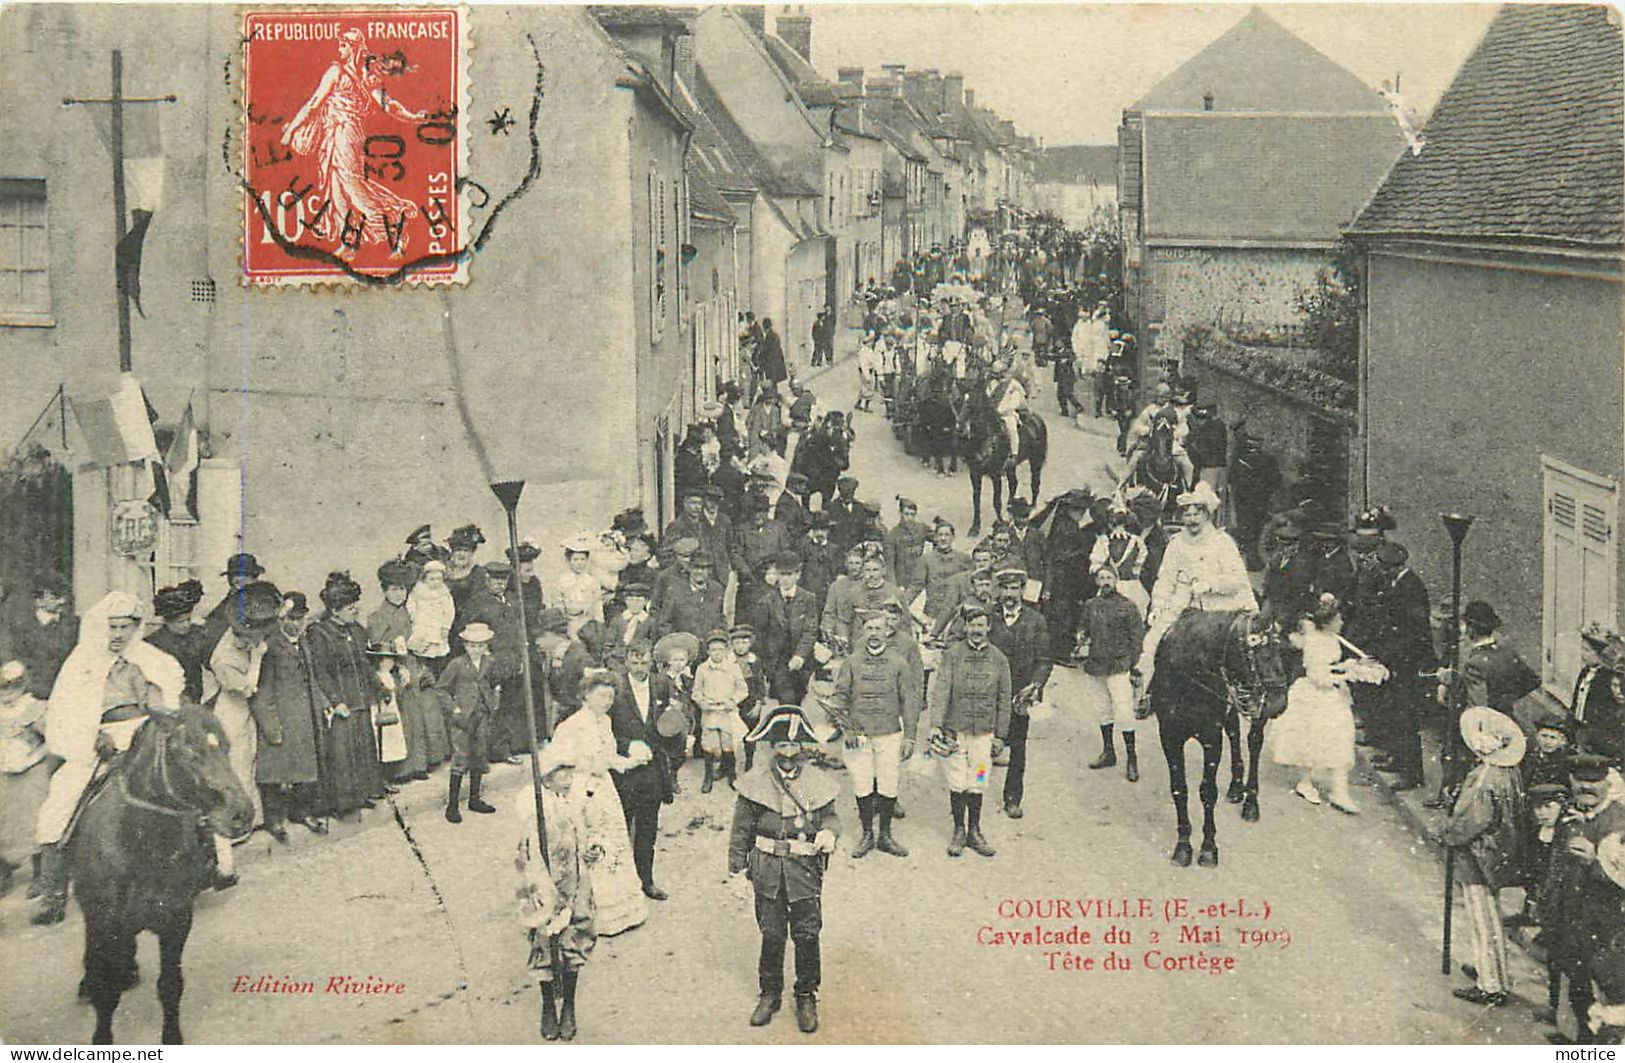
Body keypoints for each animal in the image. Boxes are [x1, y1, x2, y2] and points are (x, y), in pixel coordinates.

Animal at [72, 705, 255, 1046]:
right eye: (187, 752)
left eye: (225, 746)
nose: (242, 814)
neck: (141, 843)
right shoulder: (107, 923)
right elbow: (107, 993)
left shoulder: (176, 922)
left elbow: (170, 984)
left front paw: (172, 1036)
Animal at [955, 390, 1046, 542]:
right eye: (959, 401)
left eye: (972, 404)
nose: (960, 429)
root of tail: (1037, 418)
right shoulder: (975, 473)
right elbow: (976, 501)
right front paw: (975, 528)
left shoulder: (995, 474)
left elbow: (996, 500)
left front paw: (1000, 522)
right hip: (1011, 467)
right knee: (1014, 483)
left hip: (1035, 461)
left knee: (1035, 483)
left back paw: (1032, 506)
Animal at [1150, 611, 1287, 871]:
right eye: (1255, 649)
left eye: (1278, 648)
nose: (1278, 703)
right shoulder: (1170, 736)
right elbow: (1179, 789)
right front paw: (1183, 846)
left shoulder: (1211, 739)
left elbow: (1207, 792)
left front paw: (1208, 848)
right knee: (1233, 731)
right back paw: (1235, 787)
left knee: (1254, 742)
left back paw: (1250, 802)